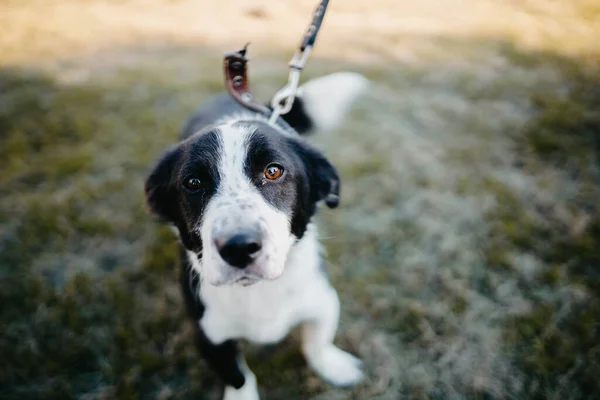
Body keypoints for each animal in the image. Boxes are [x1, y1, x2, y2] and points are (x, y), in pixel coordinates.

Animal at [145, 72, 368, 400]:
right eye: (193, 182)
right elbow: (237, 375)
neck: (259, 290)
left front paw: (333, 366)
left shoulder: (322, 297)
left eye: (273, 171)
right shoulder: (208, 331)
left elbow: (318, 340)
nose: (239, 247)